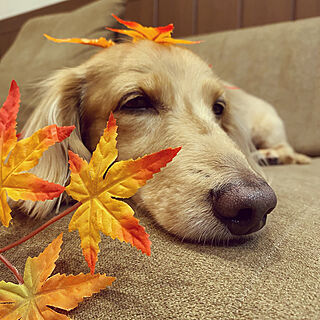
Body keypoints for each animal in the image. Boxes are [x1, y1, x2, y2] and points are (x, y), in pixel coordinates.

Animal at [18, 38, 312, 241]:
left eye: (219, 108)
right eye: (136, 102)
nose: (255, 206)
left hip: (267, 126)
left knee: (287, 148)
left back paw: (271, 155)